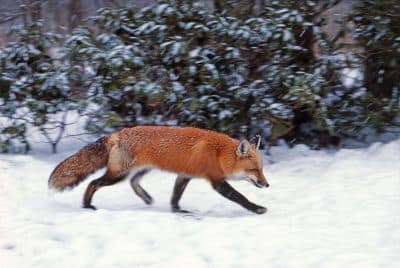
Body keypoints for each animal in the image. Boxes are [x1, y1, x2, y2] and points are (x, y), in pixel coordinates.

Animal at [48, 125, 270, 214]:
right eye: (255, 170)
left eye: (261, 169)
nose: (267, 184)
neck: (218, 153)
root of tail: (117, 134)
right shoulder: (216, 181)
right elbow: (240, 197)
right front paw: (258, 208)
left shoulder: (185, 175)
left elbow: (175, 196)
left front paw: (177, 211)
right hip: (118, 175)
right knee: (93, 184)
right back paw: (86, 205)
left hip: (141, 170)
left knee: (133, 182)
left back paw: (146, 198)